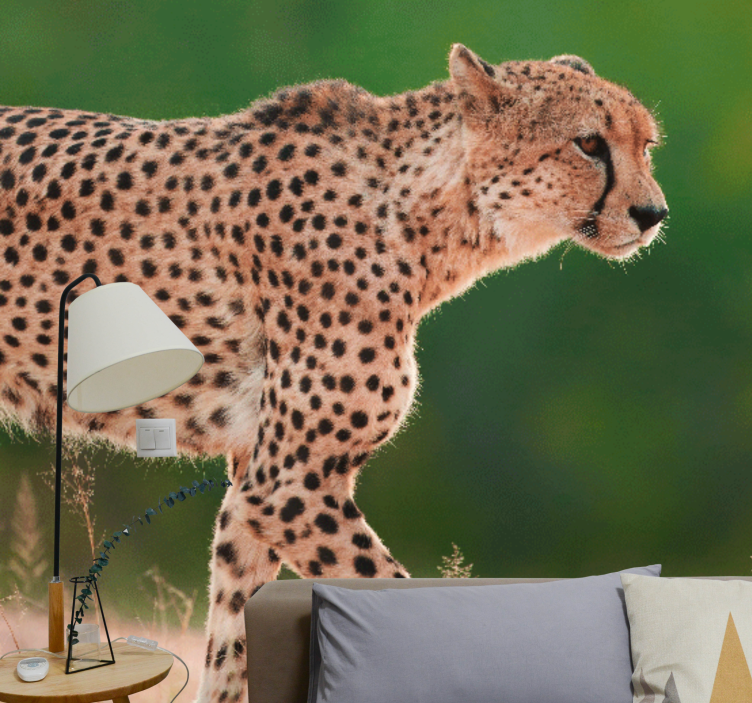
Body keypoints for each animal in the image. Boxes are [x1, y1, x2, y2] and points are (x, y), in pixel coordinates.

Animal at [0, 43, 667, 702]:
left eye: (645, 145)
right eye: (588, 143)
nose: (653, 213)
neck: (426, 212)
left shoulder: (253, 482)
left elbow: (233, 642)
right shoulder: (289, 483)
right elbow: (396, 596)